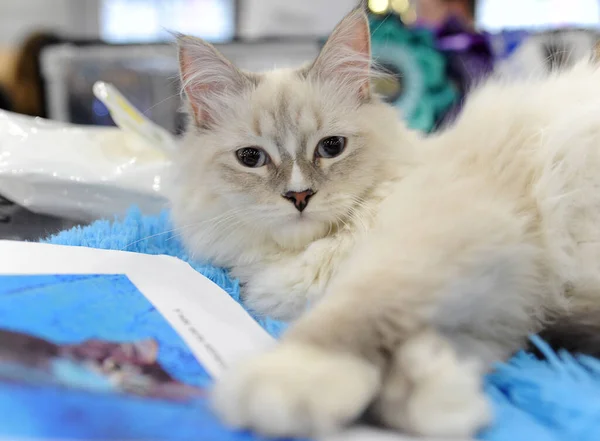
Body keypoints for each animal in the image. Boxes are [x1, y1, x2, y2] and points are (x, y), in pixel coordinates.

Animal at [172, 7, 600, 440]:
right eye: (251, 158)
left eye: (331, 147)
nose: (299, 196)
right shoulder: (506, 312)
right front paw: (439, 397)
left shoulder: (434, 245)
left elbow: (356, 311)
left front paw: (292, 378)